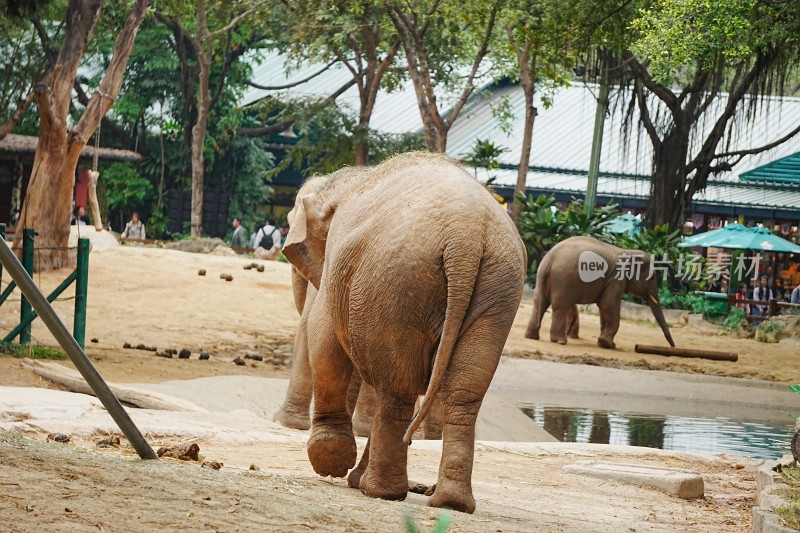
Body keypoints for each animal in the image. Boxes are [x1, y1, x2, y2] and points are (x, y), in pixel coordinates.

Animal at [282, 152, 524, 512]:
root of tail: (465, 237)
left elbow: (324, 336)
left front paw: (331, 461)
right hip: (498, 288)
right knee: (462, 390)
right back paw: (449, 502)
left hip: (398, 278)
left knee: (397, 389)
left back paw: (378, 490)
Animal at [524, 237, 676, 350]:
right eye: (652, 277)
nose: (673, 346)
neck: (627, 251)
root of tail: (548, 261)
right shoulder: (615, 279)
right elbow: (608, 304)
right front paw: (608, 345)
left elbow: (603, 308)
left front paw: (606, 344)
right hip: (564, 280)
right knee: (560, 306)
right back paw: (560, 341)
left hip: (542, 279)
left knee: (539, 303)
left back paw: (532, 337)